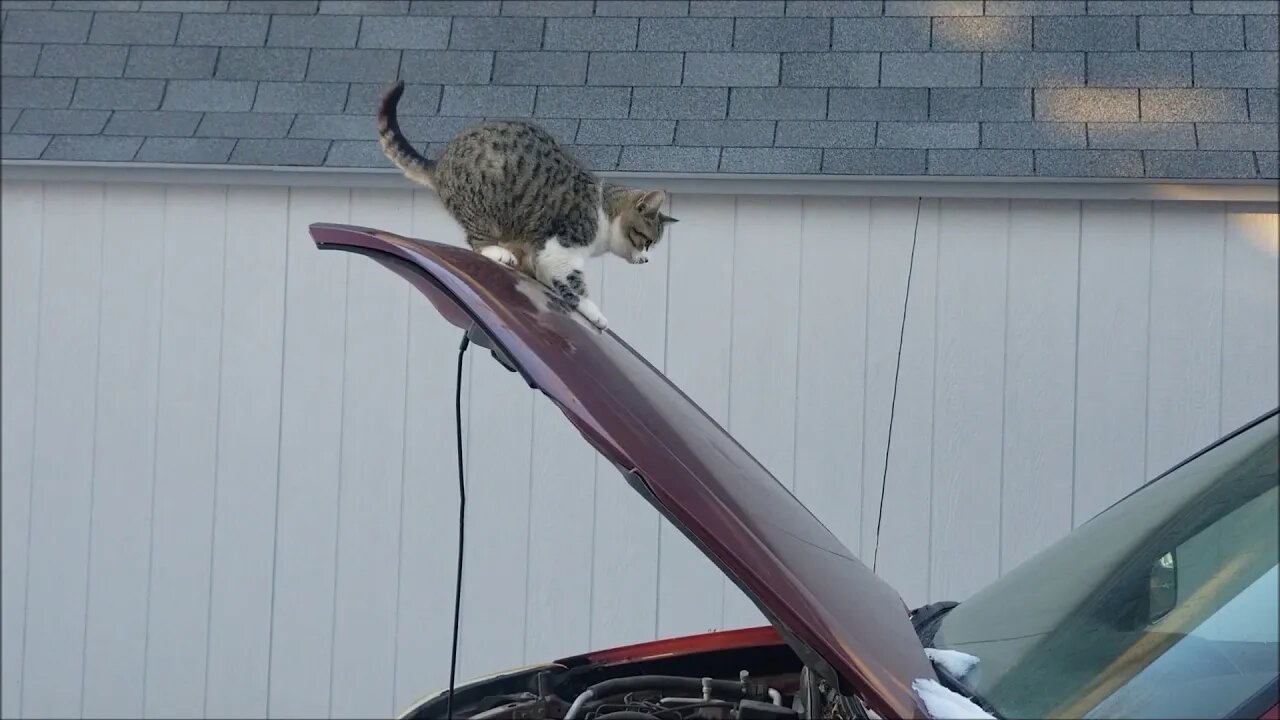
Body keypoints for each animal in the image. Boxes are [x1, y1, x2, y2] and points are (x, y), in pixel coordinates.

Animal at [373, 81, 675, 330]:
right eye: (647, 242)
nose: (646, 259)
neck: (602, 211)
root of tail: (440, 163)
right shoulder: (562, 249)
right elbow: (575, 285)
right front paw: (596, 314)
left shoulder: (541, 255)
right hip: (483, 208)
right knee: (476, 240)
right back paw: (497, 252)